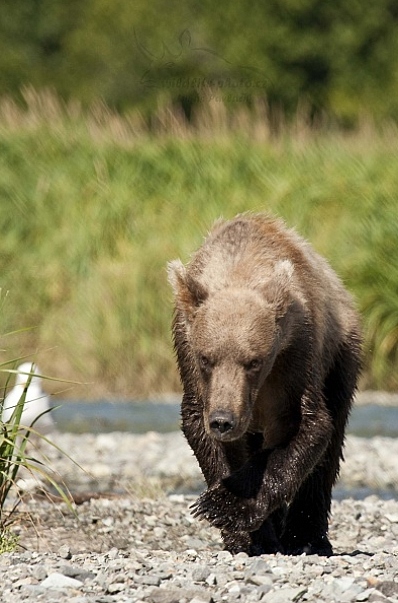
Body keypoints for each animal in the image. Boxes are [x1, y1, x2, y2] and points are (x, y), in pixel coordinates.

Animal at [168, 215, 360, 560]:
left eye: (254, 361)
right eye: (206, 358)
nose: (224, 420)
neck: (239, 266)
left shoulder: (297, 352)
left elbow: (306, 427)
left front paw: (226, 505)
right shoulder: (189, 355)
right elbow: (206, 436)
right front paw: (247, 537)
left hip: (341, 354)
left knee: (331, 443)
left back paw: (307, 538)